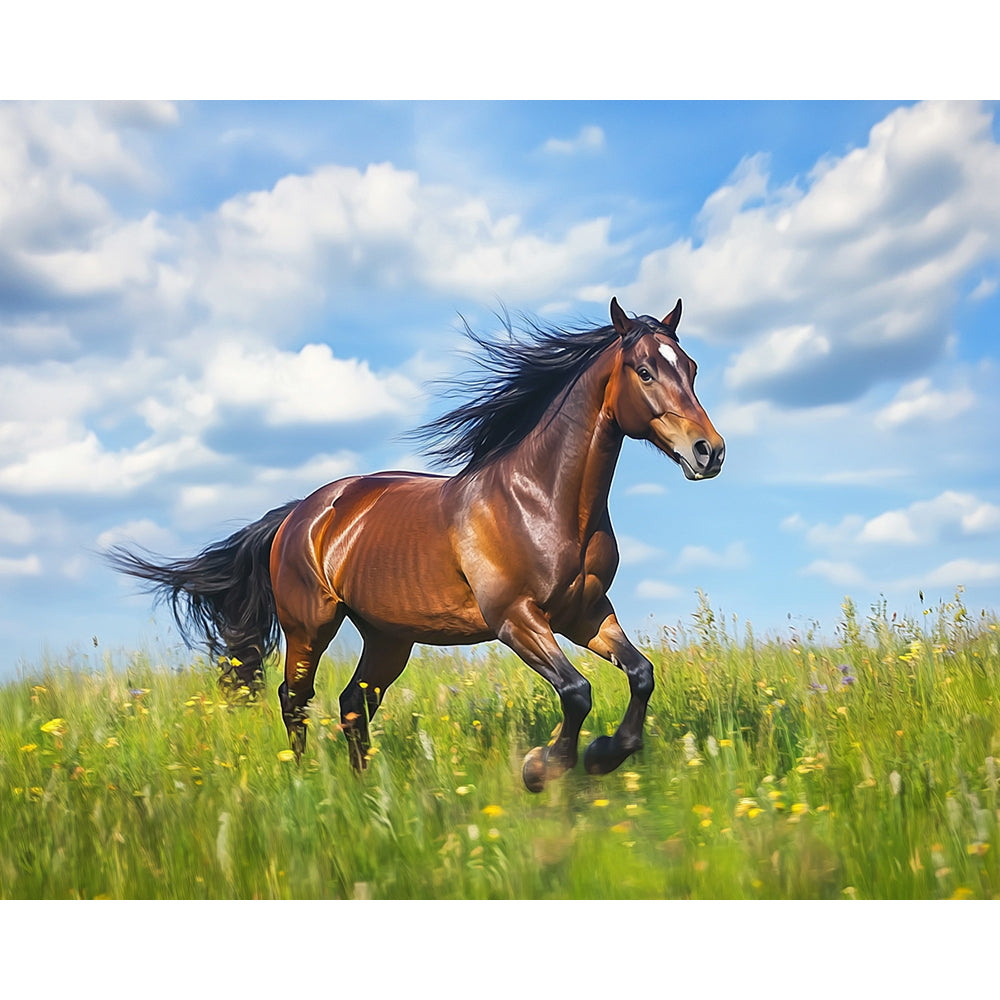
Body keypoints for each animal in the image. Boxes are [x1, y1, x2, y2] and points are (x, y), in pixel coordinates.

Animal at [108, 297, 724, 791]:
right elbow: (576, 691)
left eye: (692, 367)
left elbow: (641, 675)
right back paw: (301, 781)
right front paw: (542, 768)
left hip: (388, 636)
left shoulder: (586, 613)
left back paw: (362, 790)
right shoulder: (516, 619)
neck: (543, 501)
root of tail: (299, 514)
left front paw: (604, 755)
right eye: (644, 371)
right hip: (310, 624)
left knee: (352, 704)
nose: (709, 451)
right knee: (295, 698)